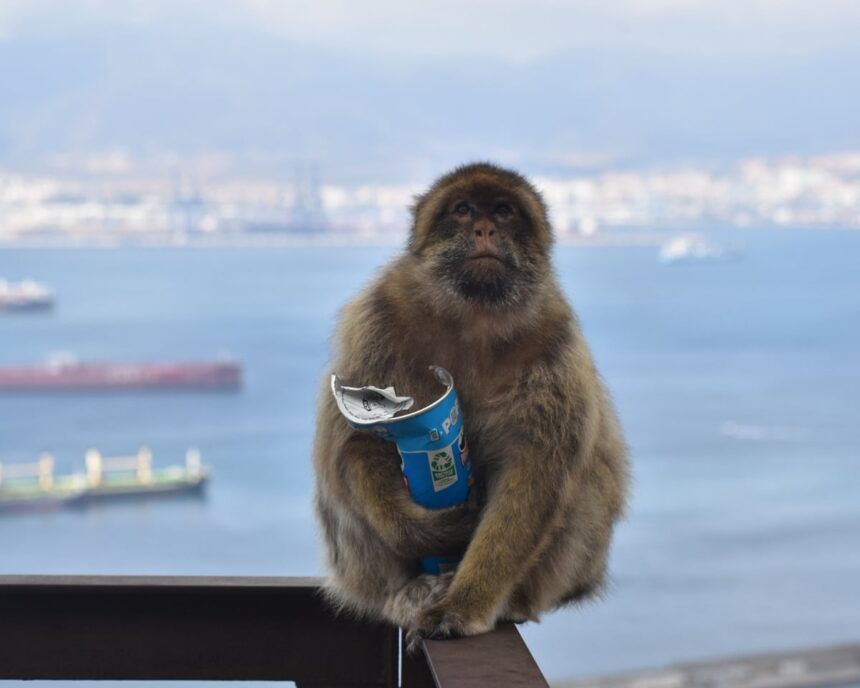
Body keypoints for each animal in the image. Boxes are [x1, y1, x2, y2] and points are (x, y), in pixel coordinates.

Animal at [312, 162, 629, 650]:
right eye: (462, 210)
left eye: (503, 210)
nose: (484, 229)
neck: (474, 317)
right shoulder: (376, 317)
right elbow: (355, 443)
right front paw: (431, 531)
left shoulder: (556, 342)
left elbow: (535, 472)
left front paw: (464, 606)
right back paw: (409, 590)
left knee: (589, 478)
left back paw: (509, 600)